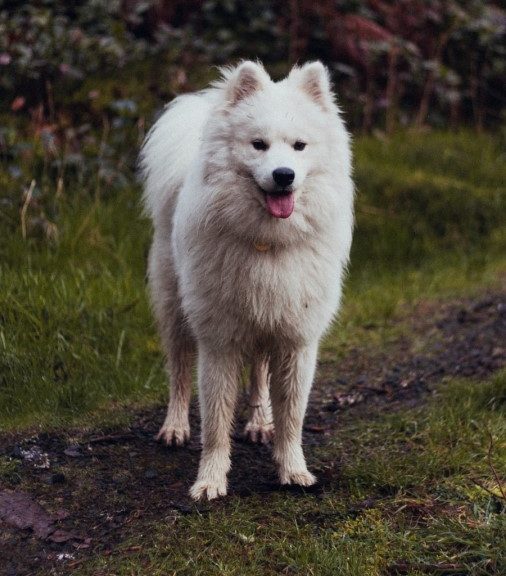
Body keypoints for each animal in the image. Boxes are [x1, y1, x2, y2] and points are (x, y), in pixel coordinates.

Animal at [138, 59, 352, 500]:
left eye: (299, 146)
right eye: (258, 145)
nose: (284, 175)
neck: (268, 242)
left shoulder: (295, 339)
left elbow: (292, 418)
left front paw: (293, 469)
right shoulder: (218, 341)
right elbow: (215, 424)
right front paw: (210, 481)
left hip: (262, 327)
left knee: (259, 373)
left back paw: (259, 421)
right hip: (175, 311)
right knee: (178, 371)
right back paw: (175, 427)